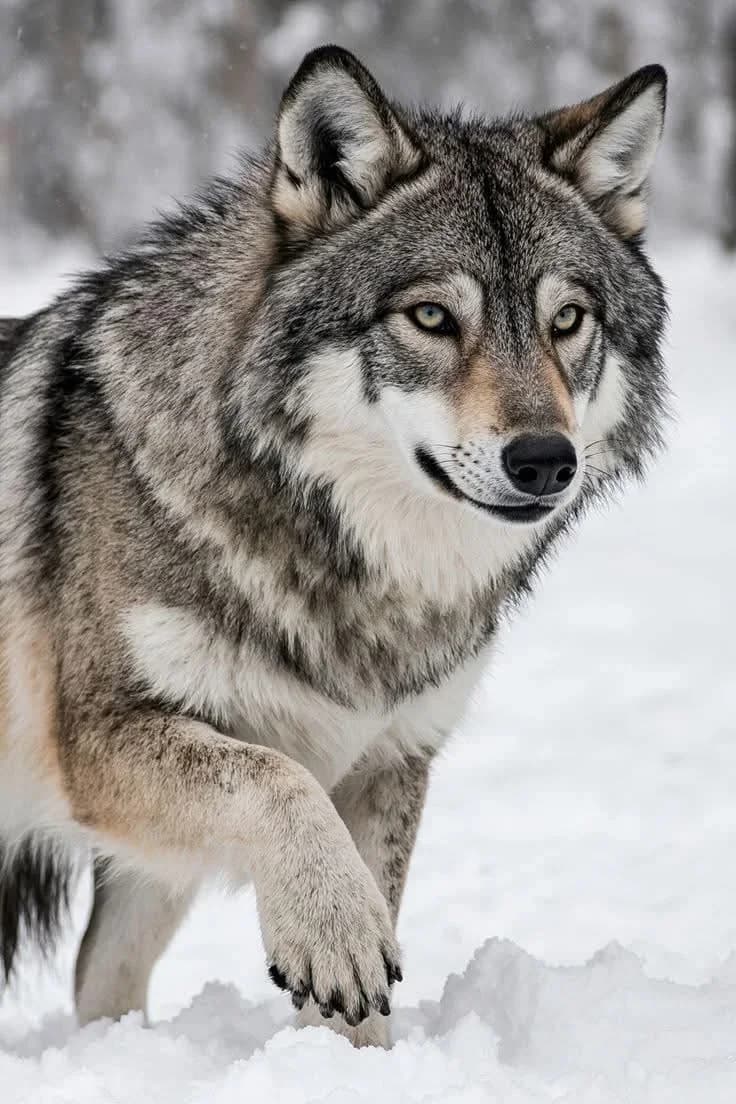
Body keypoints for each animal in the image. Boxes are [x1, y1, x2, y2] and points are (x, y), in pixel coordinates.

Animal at [0, 46, 668, 1047]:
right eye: (431, 318)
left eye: (567, 321)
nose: (546, 458)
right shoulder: (102, 737)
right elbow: (281, 783)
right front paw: (334, 935)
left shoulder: (392, 761)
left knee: (99, 979)